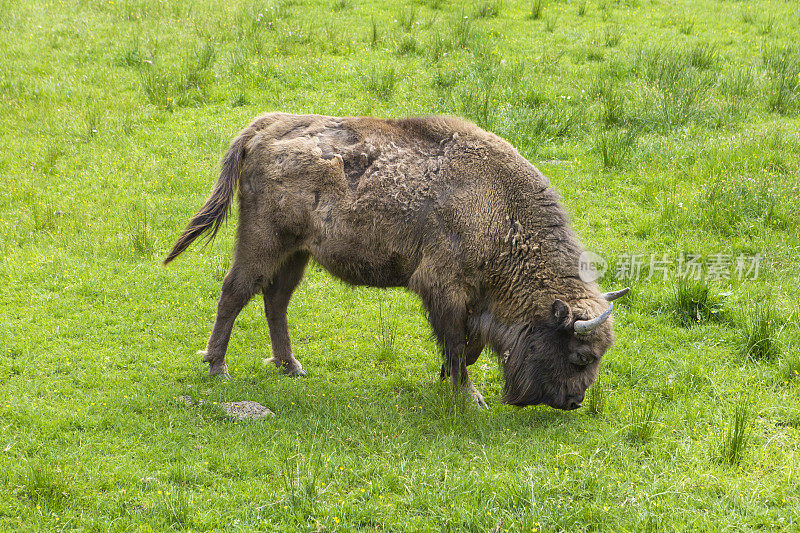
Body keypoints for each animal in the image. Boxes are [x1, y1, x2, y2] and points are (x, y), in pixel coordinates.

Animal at [166, 114, 628, 410]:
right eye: (581, 357)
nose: (573, 402)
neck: (500, 208)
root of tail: (265, 128)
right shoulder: (444, 290)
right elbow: (457, 345)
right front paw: (469, 395)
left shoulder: (470, 302)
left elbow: (468, 346)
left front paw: (449, 379)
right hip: (263, 243)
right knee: (235, 292)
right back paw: (218, 368)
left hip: (297, 254)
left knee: (275, 301)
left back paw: (291, 367)